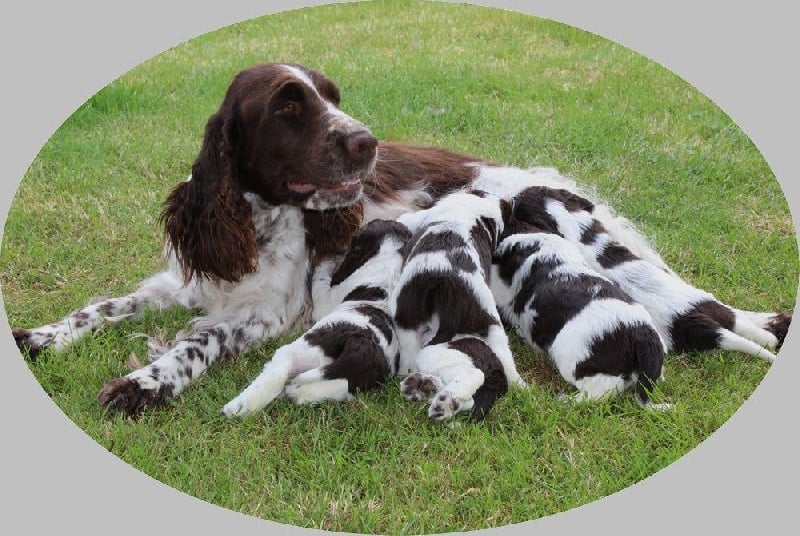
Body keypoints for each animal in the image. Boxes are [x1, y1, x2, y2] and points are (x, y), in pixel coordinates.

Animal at [222, 218, 410, 414]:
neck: (389, 261)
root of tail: (362, 348)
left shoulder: (326, 300)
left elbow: (321, 283)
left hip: (302, 352)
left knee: (278, 373)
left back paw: (238, 407)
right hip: (352, 379)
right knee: (333, 388)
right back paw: (294, 392)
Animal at [512, 186, 780, 362]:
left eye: (521, 201)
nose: (512, 198)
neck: (568, 217)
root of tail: (693, 318)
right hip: (710, 306)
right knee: (751, 330)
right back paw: (770, 339)